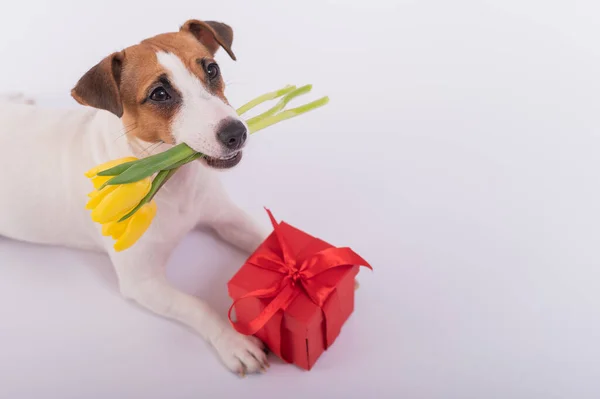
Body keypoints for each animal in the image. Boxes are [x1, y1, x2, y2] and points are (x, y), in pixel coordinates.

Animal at [0, 18, 270, 376]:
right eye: (159, 94)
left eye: (212, 69)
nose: (236, 133)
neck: (169, 177)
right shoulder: (142, 282)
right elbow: (197, 305)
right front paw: (233, 341)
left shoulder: (227, 217)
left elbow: (267, 237)